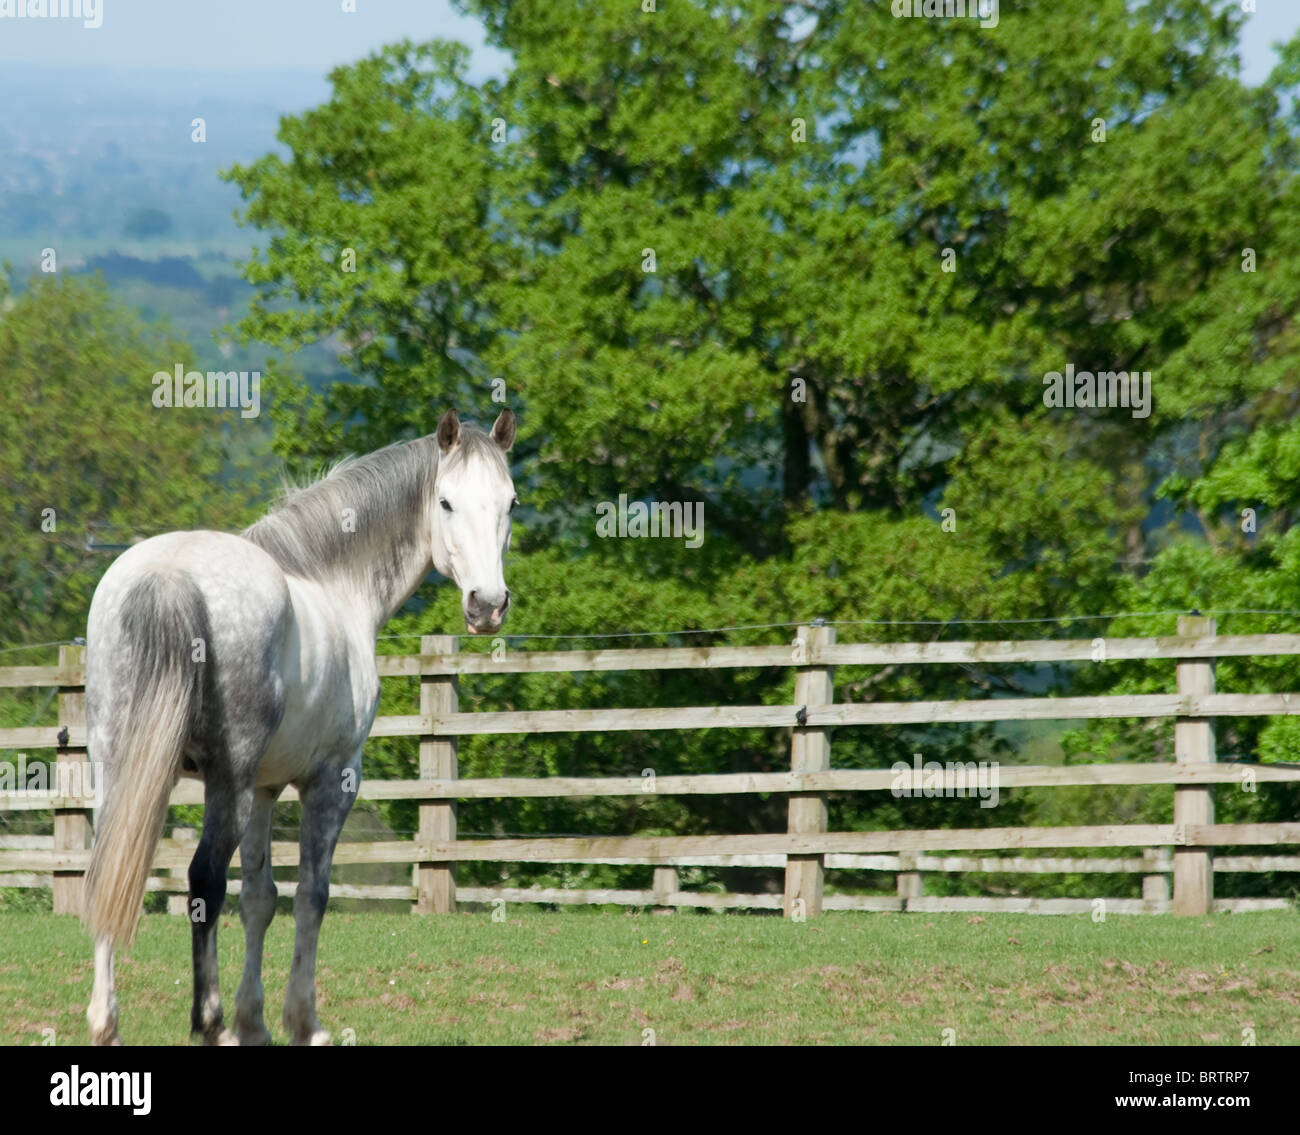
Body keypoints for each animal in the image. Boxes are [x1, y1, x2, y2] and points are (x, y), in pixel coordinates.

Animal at [79, 410, 517, 1045]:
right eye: (446, 502)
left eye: (509, 502)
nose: (487, 605)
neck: (332, 581)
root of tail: (169, 574)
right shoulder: (331, 780)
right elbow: (312, 894)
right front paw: (301, 1020)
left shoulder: (265, 788)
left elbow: (260, 899)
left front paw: (254, 1022)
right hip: (226, 783)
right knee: (204, 879)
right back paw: (208, 1021)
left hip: (120, 770)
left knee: (109, 870)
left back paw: (105, 1020)